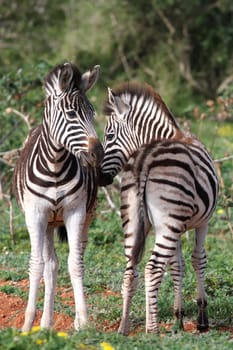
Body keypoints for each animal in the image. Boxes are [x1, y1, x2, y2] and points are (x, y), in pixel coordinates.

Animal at [13, 61, 104, 332]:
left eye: (93, 113)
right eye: (72, 115)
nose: (98, 155)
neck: (55, 165)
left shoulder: (76, 212)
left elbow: (75, 264)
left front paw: (83, 321)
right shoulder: (35, 215)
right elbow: (37, 266)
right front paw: (27, 325)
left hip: (83, 217)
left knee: (73, 257)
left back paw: (60, 322)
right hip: (48, 223)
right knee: (50, 266)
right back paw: (44, 324)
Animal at [99, 82, 218, 336]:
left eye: (109, 135)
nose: (100, 177)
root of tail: (144, 159)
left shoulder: (177, 225)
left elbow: (177, 266)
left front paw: (178, 318)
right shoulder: (202, 222)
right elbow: (198, 259)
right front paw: (201, 318)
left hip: (135, 222)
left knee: (130, 270)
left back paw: (124, 327)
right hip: (167, 224)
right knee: (152, 269)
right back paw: (151, 329)